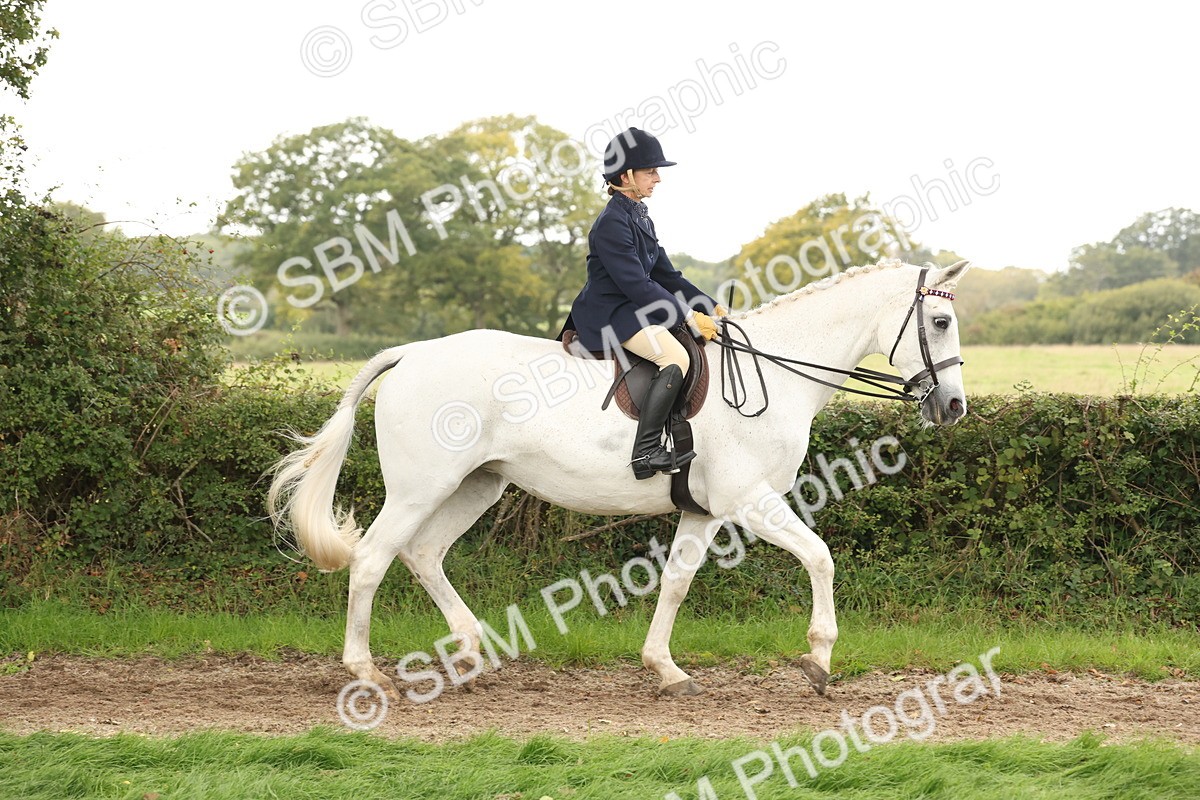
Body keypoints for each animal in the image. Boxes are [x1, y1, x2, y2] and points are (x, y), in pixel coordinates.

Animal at [268, 257, 970, 700]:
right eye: (939, 323)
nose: (954, 407)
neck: (776, 371)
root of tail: (410, 353)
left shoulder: (706, 509)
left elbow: (676, 582)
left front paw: (667, 670)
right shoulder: (750, 499)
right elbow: (820, 557)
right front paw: (820, 659)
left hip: (478, 484)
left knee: (423, 553)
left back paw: (472, 651)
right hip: (421, 487)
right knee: (373, 560)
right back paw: (367, 674)